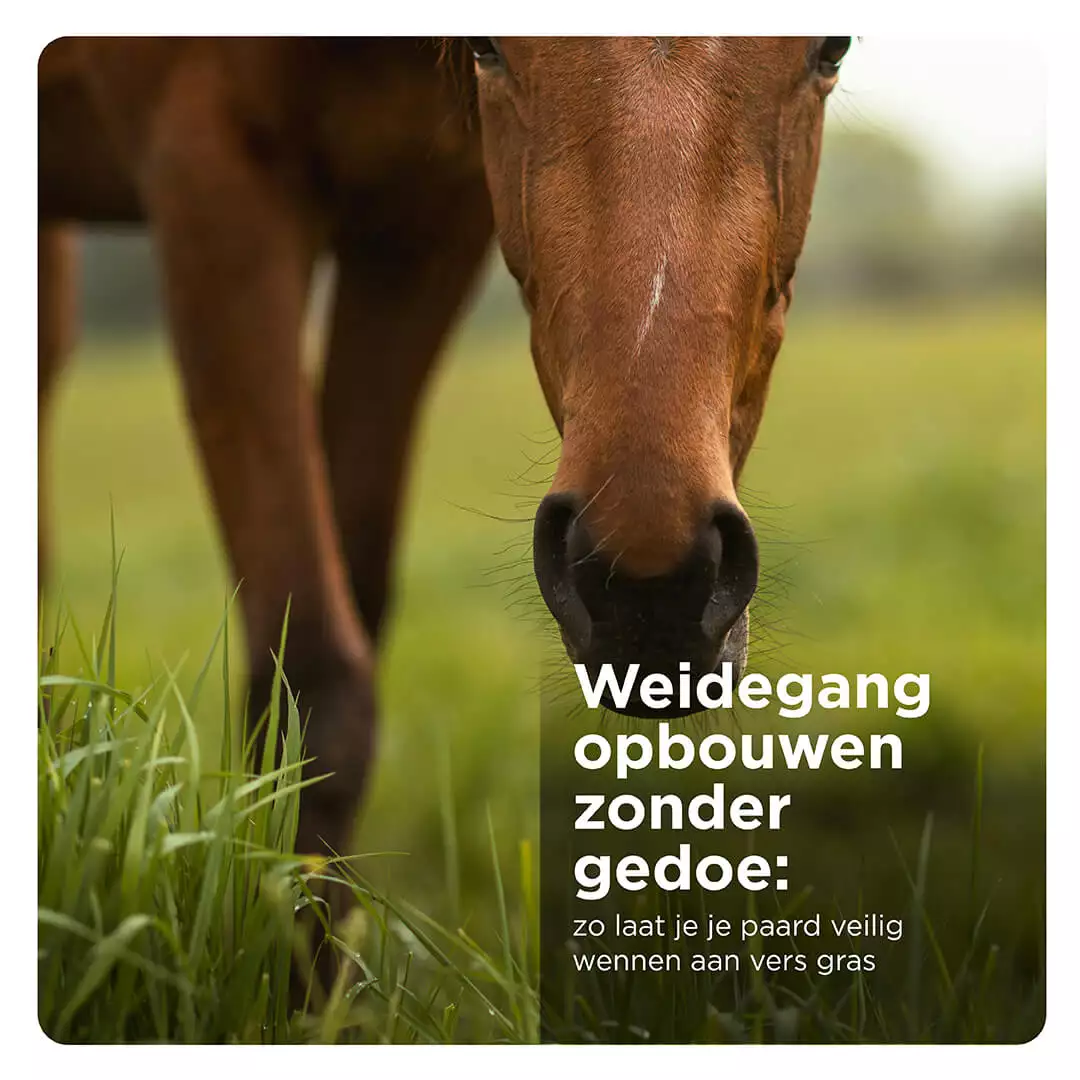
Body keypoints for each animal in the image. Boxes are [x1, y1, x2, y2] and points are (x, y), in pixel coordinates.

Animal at [38, 35, 851, 863]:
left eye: (831, 49)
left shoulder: (421, 221)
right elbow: (314, 684)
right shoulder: (210, 164)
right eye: (489, 49)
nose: (649, 586)